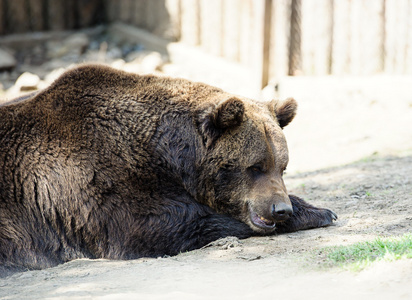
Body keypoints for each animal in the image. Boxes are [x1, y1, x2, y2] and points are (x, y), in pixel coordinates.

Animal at [0, 64, 334, 276]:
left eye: (283, 167)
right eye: (255, 166)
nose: (281, 209)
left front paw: (318, 209)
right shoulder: (95, 178)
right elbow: (160, 223)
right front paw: (315, 214)